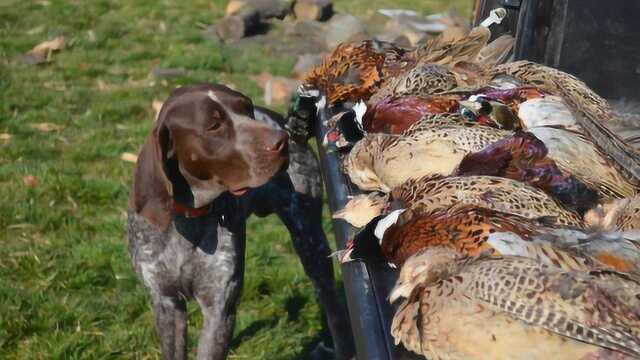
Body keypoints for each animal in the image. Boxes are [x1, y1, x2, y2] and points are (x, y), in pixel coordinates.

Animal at [127, 85, 352, 360]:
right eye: (214, 126)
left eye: (247, 109)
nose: (281, 142)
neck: (189, 218)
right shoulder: (167, 303)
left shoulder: (219, 308)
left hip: (311, 243)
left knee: (333, 305)